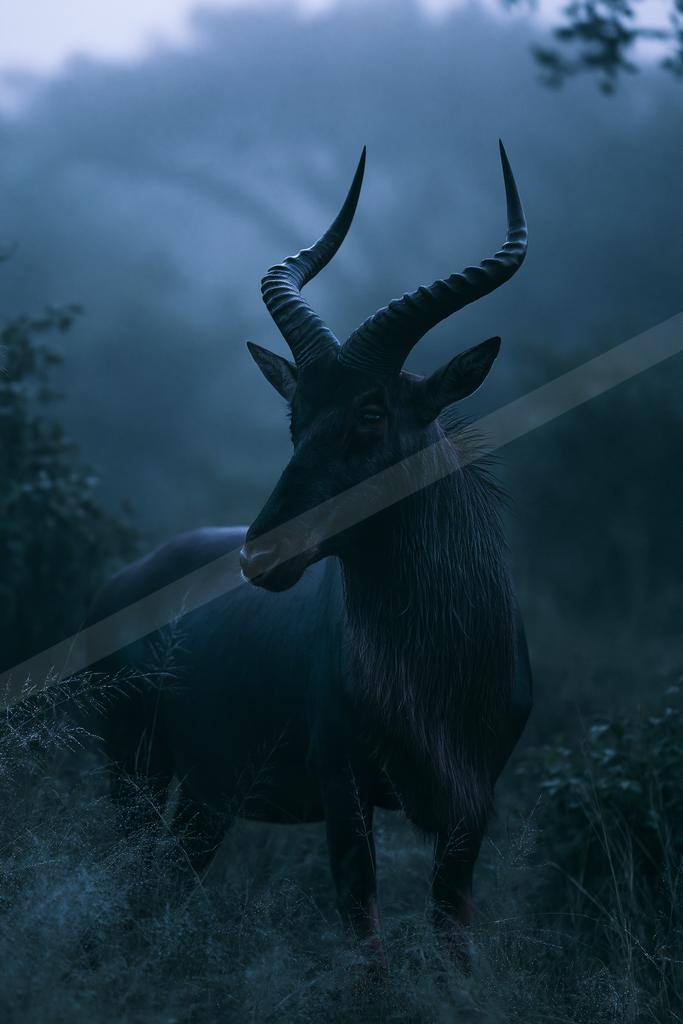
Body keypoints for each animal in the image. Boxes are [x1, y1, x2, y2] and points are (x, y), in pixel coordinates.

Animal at [89, 142, 532, 967]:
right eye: (294, 412)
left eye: (372, 410)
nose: (263, 556)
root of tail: (123, 582)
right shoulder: (342, 784)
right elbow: (364, 936)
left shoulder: (472, 802)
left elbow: (449, 935)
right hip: (134, 771)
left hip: (206, 799)